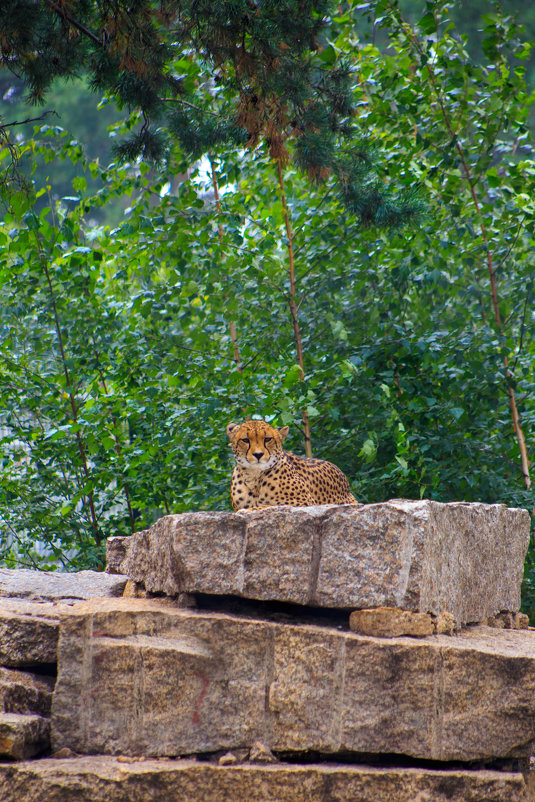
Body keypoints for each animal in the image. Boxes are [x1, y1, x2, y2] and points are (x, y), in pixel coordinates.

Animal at [226, 416, 356, 510]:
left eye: (268, 439)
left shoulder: (304, 503)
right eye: (245, 440)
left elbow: (268, 506)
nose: (258, 454)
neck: (254, 478)